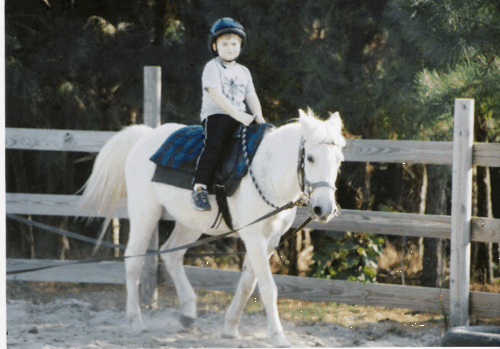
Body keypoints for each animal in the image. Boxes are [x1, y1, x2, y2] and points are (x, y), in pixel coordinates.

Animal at [80, 108, 346, 346]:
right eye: (310, 158)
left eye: (339, 160)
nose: (323, 209)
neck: (267, 173)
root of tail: (145, 136)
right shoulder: (254, 237)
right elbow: (268, 287)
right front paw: (278, 337)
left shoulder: (271, 240)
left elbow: (248, 284)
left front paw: (230, 328)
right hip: (145, 213)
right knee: (133, 261)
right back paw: (135, 322)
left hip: (190, 223)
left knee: (172, 254)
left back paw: (187, 315)